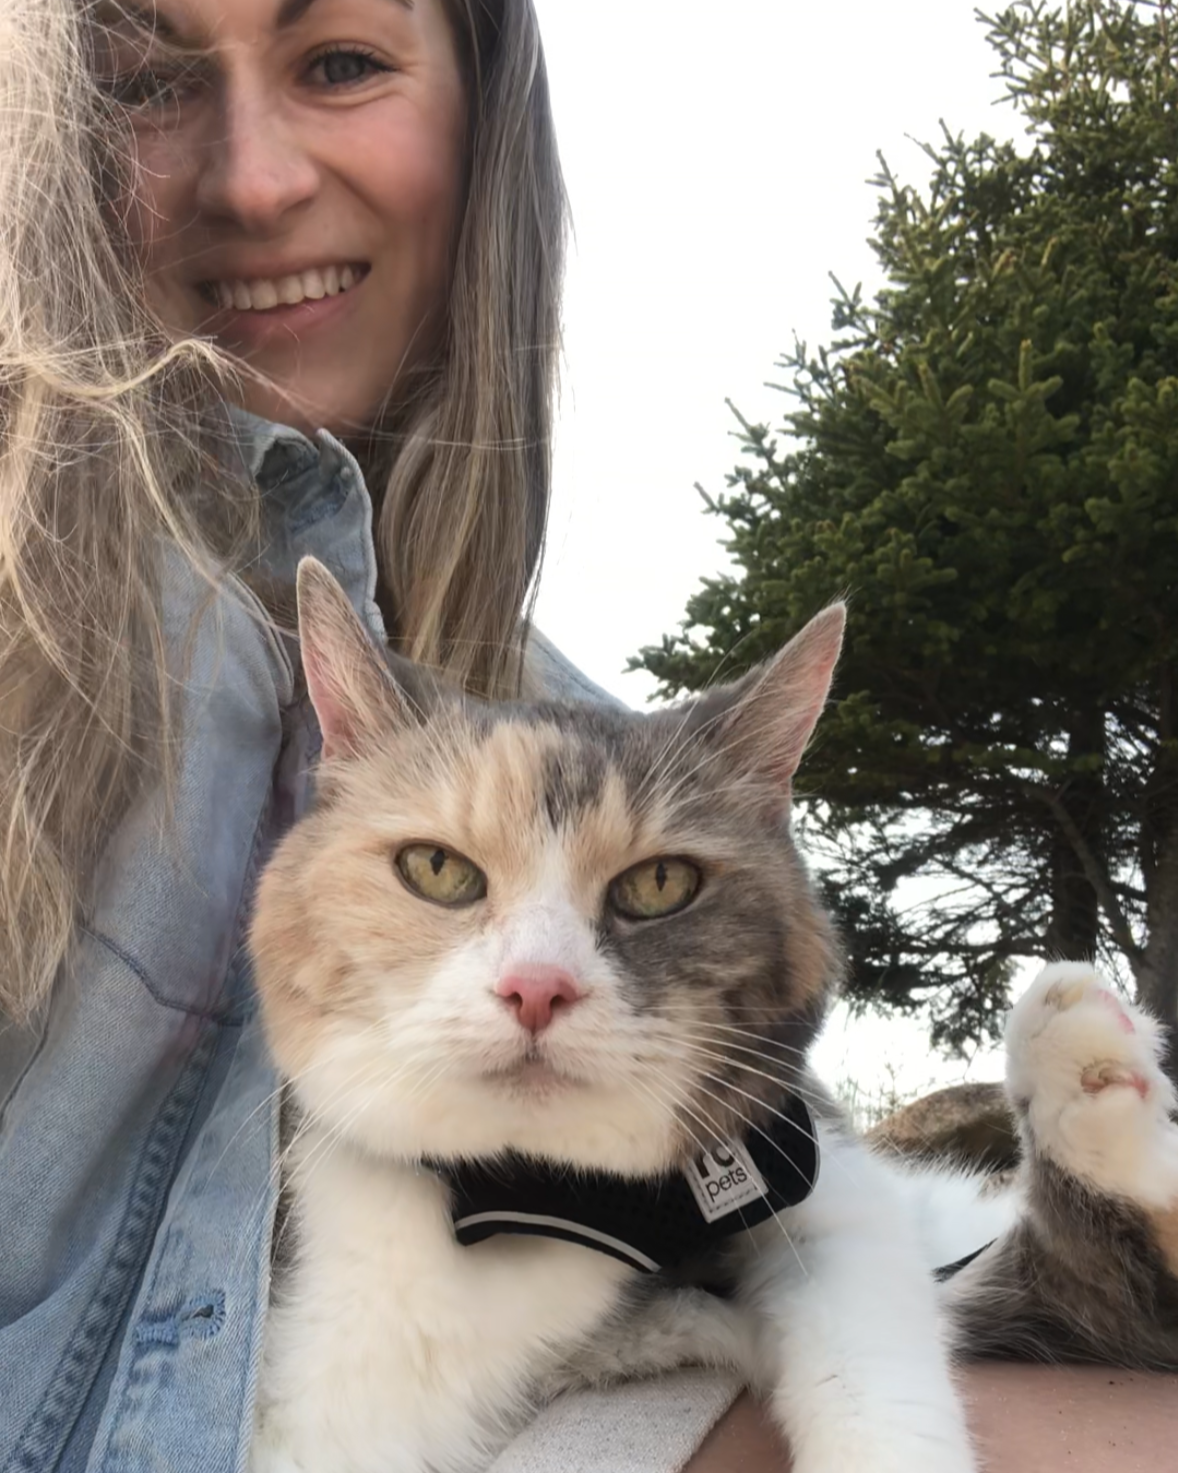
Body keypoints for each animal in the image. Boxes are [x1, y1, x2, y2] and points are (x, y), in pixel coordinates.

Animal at [247, 556, 1178, 1473]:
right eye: (436, 868)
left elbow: (877, 1354)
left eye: (660, 883)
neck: (549, 1197)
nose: (538, 986)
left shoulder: (824, 1175)